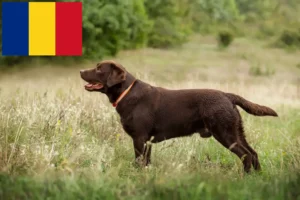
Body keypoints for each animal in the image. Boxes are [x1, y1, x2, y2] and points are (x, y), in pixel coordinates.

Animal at [80, 59, 278, 172]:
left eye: (99, 69)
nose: (81, 71)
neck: (127, 93)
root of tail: (227, 95)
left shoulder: (140, 138)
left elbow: (138, 161)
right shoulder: (147, 141)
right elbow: (147, 162)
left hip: (225, 133)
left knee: (246, 155)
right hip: (236, 131)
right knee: (254, 153)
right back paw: (258, 177)